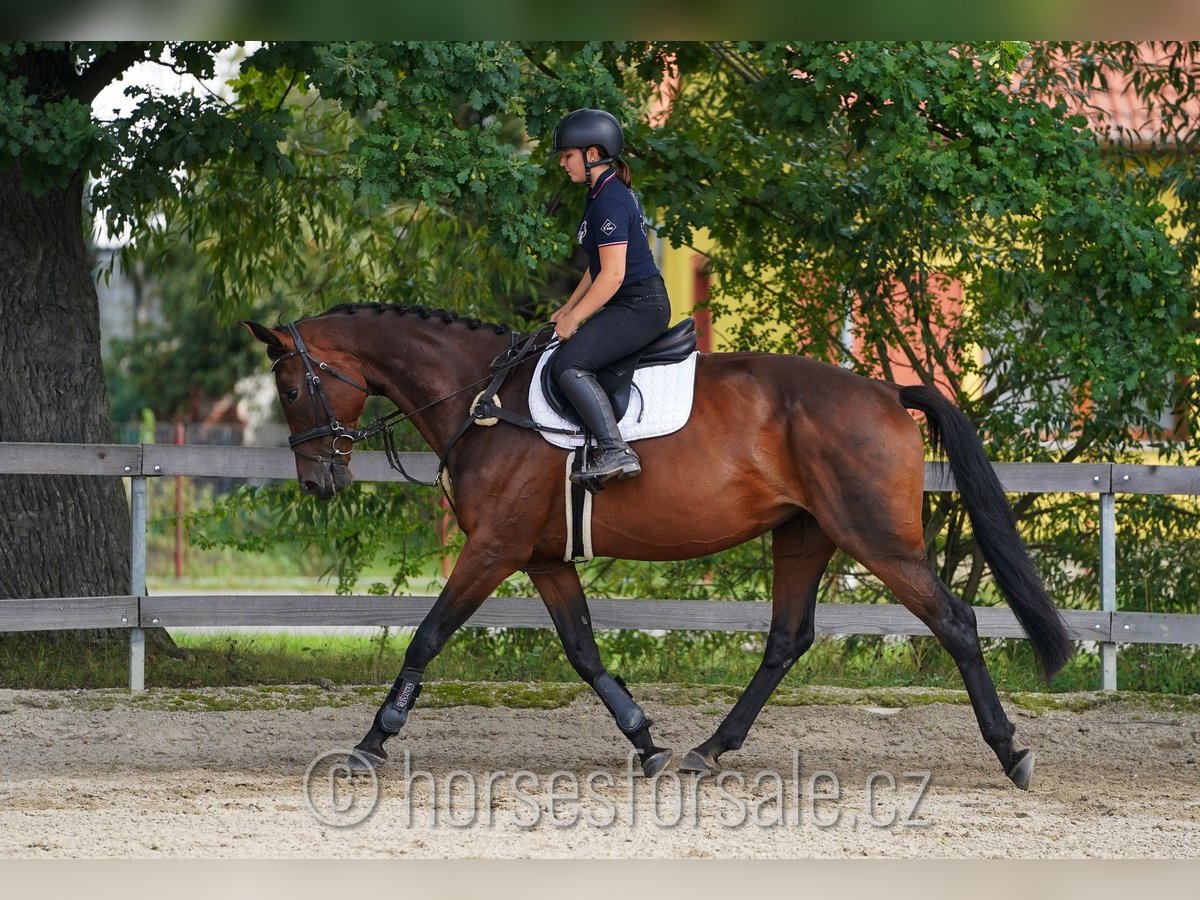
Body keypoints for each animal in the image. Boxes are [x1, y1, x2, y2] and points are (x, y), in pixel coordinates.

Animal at [241, 301, 1070, 787]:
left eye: (291, 388)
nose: (317, 481)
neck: (483, 400)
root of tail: (884, 390)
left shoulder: (493, 550)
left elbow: (427, 636)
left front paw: (370, 743)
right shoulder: (542, 559)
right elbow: (583, 652)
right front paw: (646, 741)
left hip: (877, 539)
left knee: (954, 622)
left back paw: (1011, 751)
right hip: (804, 536)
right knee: (785, 640)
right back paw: (710, 749)